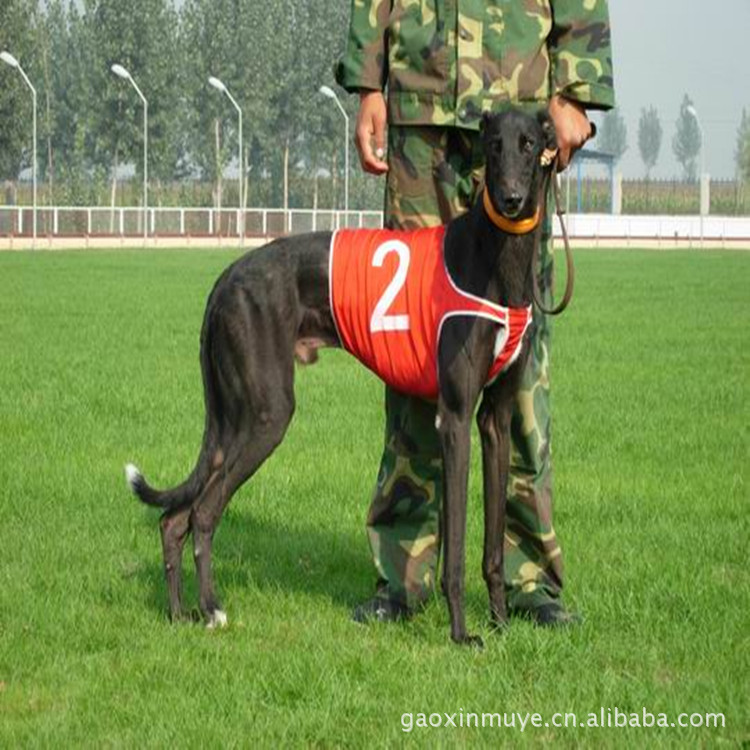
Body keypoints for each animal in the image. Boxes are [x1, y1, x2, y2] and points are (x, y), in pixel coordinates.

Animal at [125, 108, 560, 648]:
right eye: (494, 145)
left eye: (529, 144)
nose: (511, 199)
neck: (494, 252)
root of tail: (225, 278)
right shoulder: (455, 419)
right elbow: (456, 550)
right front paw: (462, 635)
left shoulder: (493, 422)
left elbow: (494, 545)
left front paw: (500, 626)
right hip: (267, 414)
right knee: (204, 513)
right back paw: (212, 609)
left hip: (230, 421)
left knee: (173, 519)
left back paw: (179, 614)